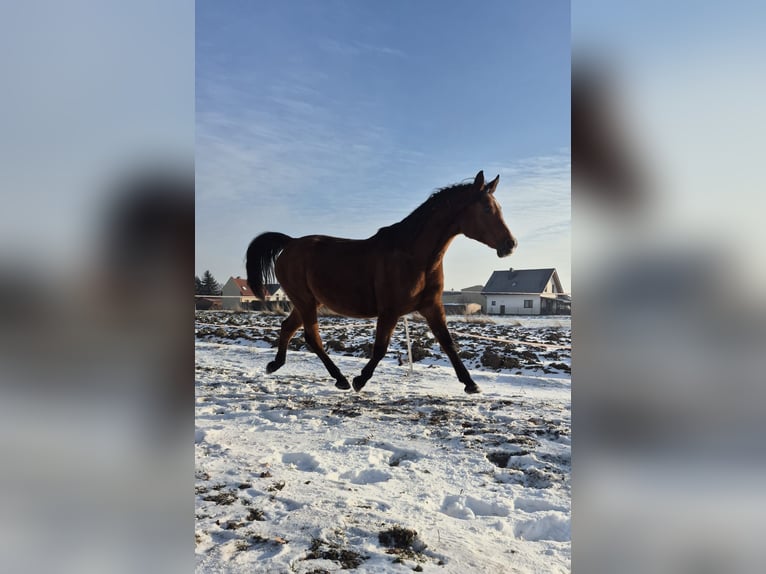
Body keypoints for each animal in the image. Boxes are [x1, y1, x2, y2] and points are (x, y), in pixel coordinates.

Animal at [246, 170, 517, 394]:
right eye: (486, 208)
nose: (510, 244)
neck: (414, 256)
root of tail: (290, 243)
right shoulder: (389, 311)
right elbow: (380, 348)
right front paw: (360, 380)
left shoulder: (432, 306)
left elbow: (448, 342)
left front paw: (471, 384)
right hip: (305, 301)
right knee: (312, 337)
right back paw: (341, 379)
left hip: (308, 301)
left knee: (288, 327)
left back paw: (275, 365)